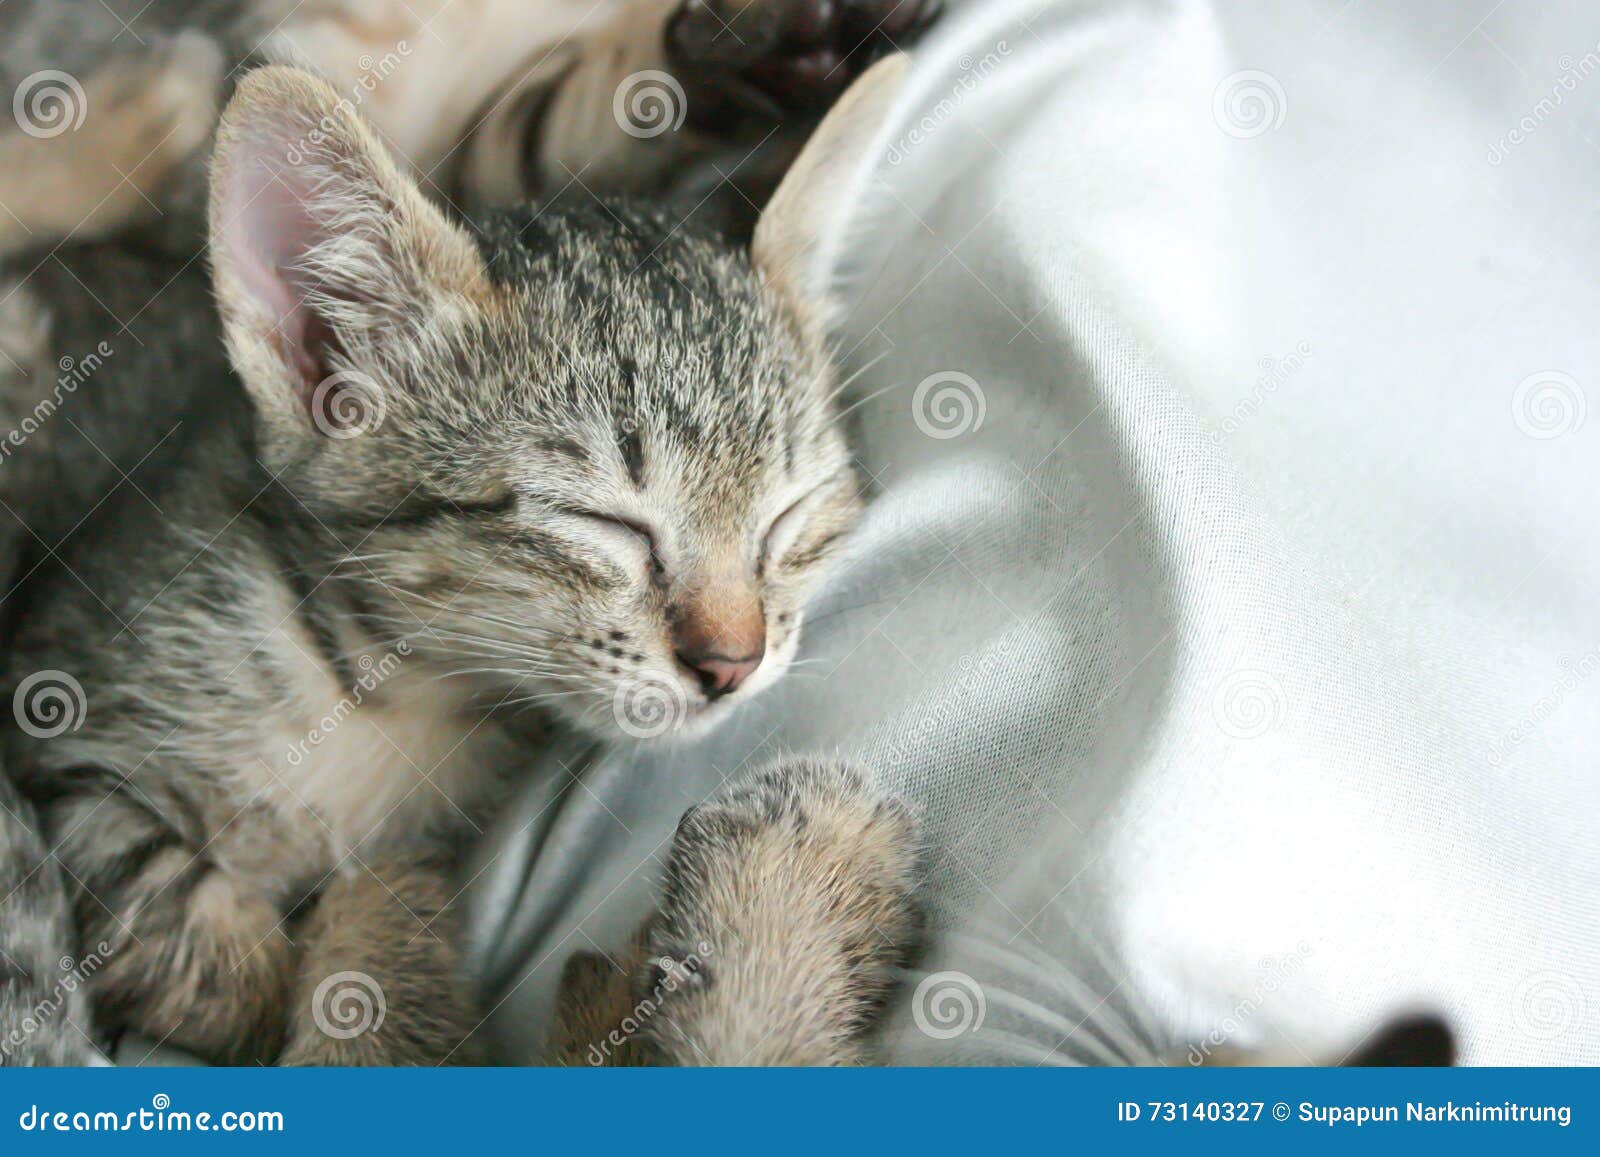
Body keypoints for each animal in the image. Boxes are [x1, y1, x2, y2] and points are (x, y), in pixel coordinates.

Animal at [0, 56, 902, 1068]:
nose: (732, 663)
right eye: (603, 521)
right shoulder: (56, 711)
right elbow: (175, 916)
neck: (381, 687)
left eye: (788, 516)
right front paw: (270, 976)